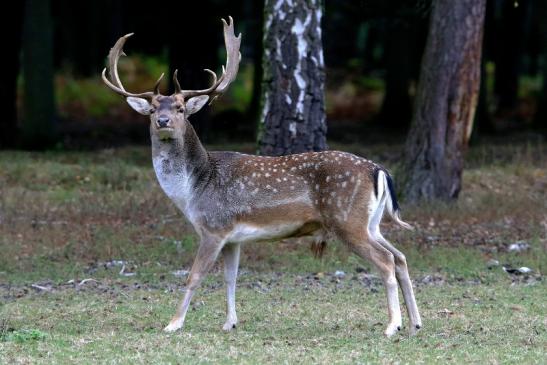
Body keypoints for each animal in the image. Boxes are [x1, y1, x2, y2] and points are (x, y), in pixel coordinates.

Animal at [100, 17, 422, 336]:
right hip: (371, 223)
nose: (163, 120)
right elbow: (230, 277)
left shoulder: (213, 227)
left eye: (180, 108)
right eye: (153, 109)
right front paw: (229, 322)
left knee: (386, 261)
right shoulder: (232, 238)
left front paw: (173, 323)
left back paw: (393, 325)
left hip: (347, 220)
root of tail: (378, 170)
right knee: (401, 257)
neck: (193, 189)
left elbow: (194, 276)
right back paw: (415, 322)